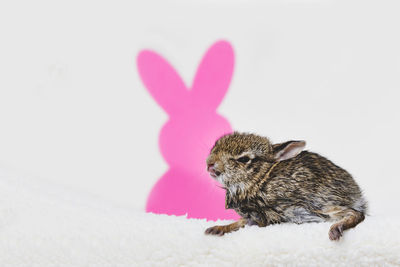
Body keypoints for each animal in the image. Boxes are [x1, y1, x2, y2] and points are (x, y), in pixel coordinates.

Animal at [205, 133, 368, 242]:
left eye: (244, 159)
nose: (210, 164)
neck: (260, 178)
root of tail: (357, 196)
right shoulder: (252, 217)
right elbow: (241, 222)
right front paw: (216, 229)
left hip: (320, 205)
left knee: (356, 214)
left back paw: (335, 230)